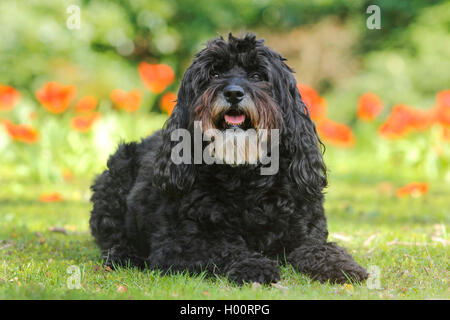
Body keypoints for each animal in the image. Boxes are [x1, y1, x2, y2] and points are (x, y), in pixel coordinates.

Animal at [89, 33, 368, 284]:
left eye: (257, 76)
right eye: (214, 74)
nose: (234, 93)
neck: (244, 176)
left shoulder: (305, 234)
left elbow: (319, 248)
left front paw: (342, 265)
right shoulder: (178, 243)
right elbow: (225, 249)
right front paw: (253, 265)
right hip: (115, 175)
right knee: (112, 237)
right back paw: (123, 255)